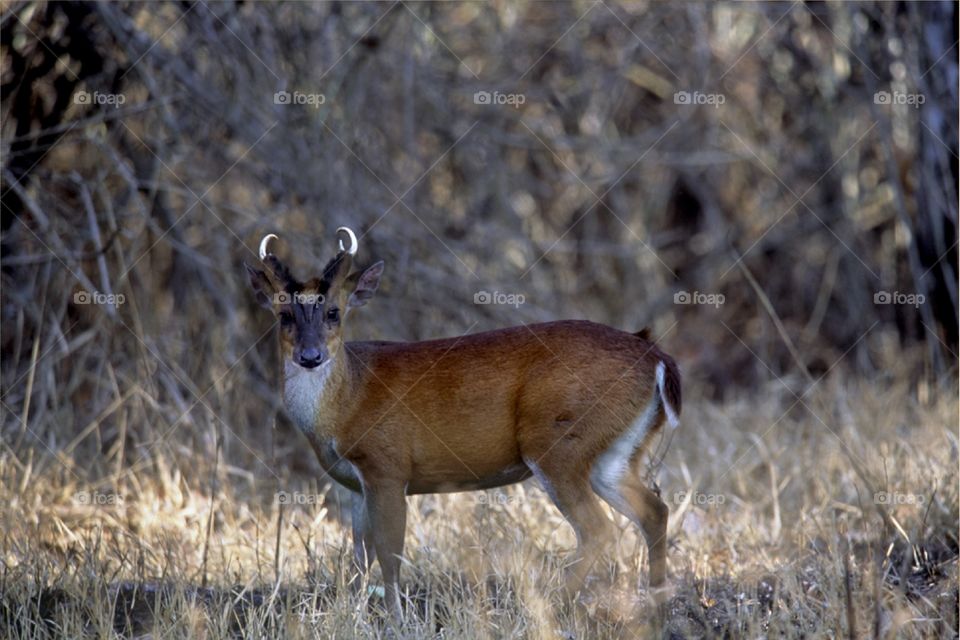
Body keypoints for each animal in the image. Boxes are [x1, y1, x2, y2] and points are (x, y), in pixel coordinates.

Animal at [246, 227, 681, 618]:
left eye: (334, 313)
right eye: (284, 315)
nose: (310, 356)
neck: (349, 399)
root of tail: (656, 356)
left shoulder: (387, 466)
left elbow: (389, 553)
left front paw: (396, 622)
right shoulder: (355, 484)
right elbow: (359, 557)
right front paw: (353, 615)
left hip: (558, 444)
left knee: (598, 529)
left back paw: (544, 610)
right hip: (616, 452)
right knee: (654, 509)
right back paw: (657, 609)